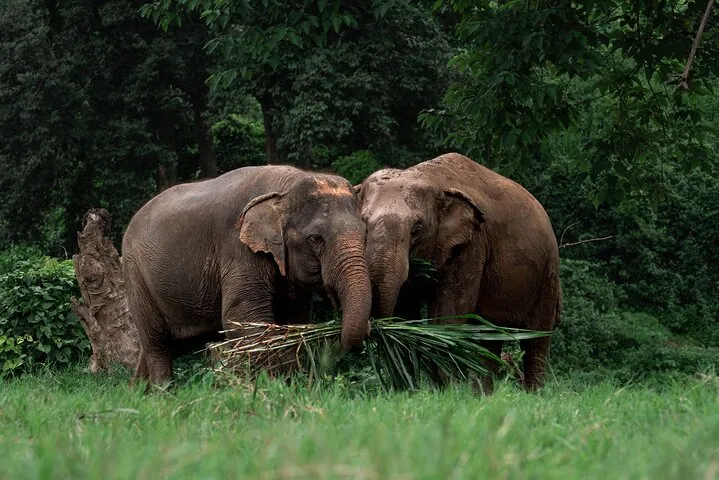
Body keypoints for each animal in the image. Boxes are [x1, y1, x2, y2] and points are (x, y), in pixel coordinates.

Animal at [122, 165, 372, 387]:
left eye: (365, 233)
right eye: (315, 239)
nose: (370, 327)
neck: (284, 186)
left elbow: (293, 321)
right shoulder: (238, 249)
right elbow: (242, 318)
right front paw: (271, 386)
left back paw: (138, 392)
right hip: (136, 276)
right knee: (158, 344)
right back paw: (163, 393)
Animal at [355, 152, 562, 392]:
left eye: (417, 229)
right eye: (364, 223)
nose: (372, 328)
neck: (429, 178)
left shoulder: (471, 245)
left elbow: (448, 315)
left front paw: (449, 392)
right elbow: (405, 312)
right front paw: (410, 391)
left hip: (547, 273)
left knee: (536, 340)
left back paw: (533, 394)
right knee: (489, 340)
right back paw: (484, 395)